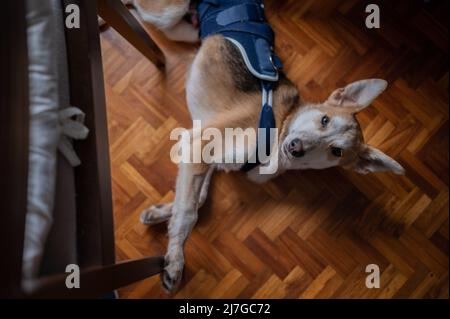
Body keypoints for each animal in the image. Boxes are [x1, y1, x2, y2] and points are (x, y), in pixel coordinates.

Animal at [133, 0, 404, 292]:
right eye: (324, 119)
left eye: (337, 151)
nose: (296, 147)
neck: (279, 131)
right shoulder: (198, 143)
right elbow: (188, 213)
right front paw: (174, 261)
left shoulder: (208, 155)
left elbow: (197, 199)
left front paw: (160, 215)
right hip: (167, 13)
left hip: (185, 31)